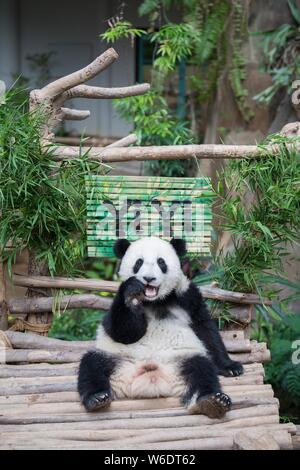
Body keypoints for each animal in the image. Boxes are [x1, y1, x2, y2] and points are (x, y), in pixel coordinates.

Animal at [78, 237, 244, 416]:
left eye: (161, 262)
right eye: (138, 262)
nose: (148, 278)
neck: (154, 301)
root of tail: (152, 380)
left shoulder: (186, 296)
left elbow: (205, 329)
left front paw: (230, 367)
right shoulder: (117, 300)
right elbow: (122, 332)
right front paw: (132, 295)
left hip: (183, 359)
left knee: (202, 370)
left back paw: (213, 401)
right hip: (116, 359)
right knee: (92, 365)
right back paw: (97, 398)